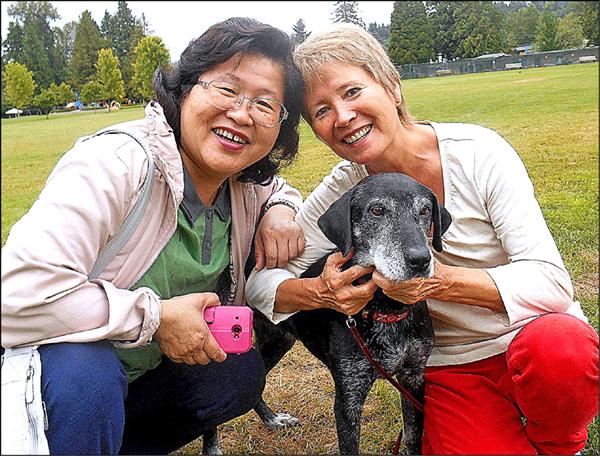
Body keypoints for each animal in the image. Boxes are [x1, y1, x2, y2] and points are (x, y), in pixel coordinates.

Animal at [251, 173, 452, 454]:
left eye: (425, 211)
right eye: (377, 210)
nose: (420, 260)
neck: (385, 309)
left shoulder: (413, 378)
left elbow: (413, 438)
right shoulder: (349, 396)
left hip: (280, 341)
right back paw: (272, 419)